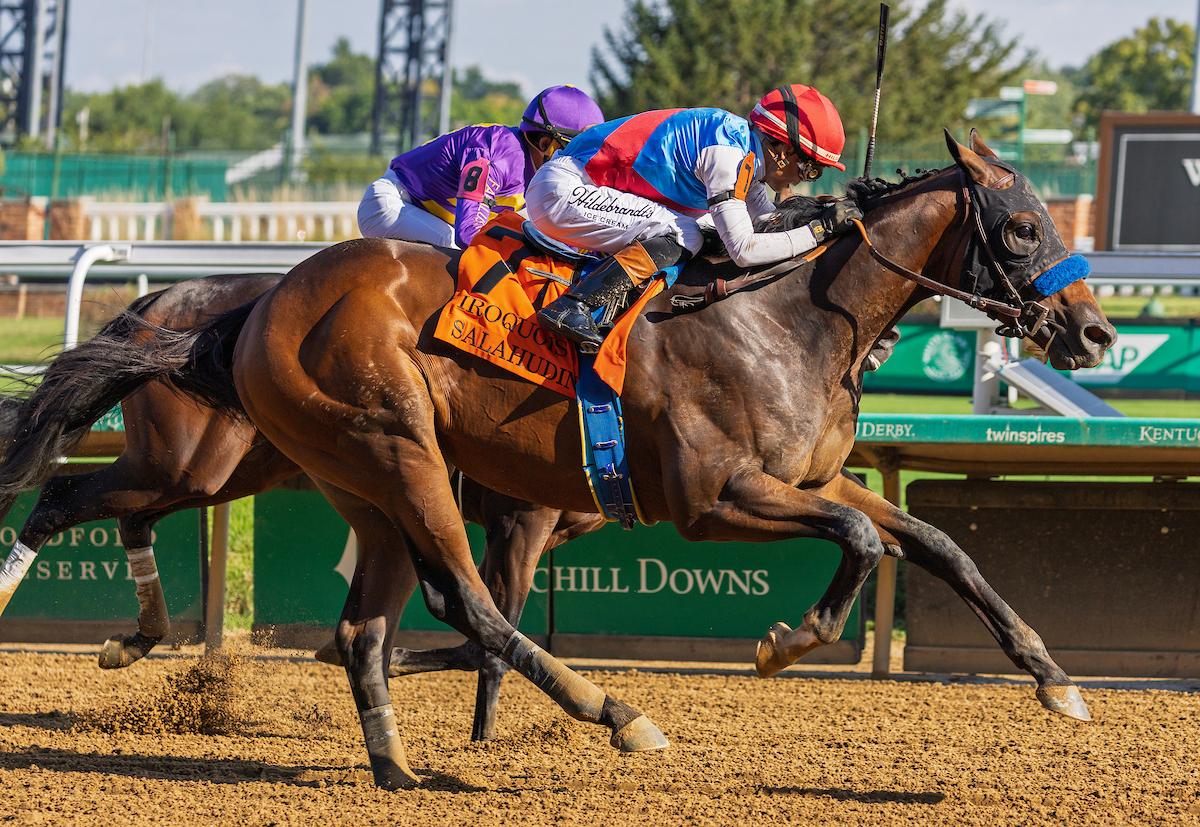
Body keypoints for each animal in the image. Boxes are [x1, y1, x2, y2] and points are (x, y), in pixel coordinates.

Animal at [0, 274, 602, 741]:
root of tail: (159, 299)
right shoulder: (523, 521)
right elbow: (487, 637)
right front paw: (480, 736)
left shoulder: (519, 527)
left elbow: (483, 634)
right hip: (185, 462)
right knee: (61, 497)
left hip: (221, 471)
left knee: (125, 514)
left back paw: (136, 638)